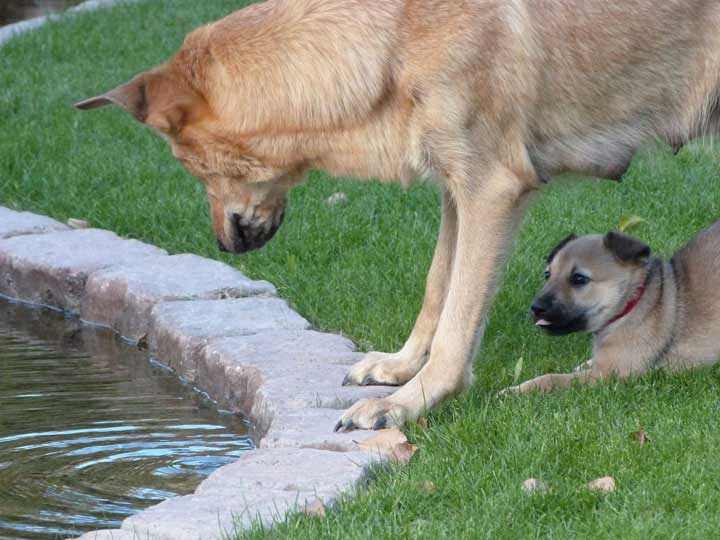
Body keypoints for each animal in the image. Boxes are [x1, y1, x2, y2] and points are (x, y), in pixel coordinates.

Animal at [504, 221, 720, 394]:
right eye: (547, 275)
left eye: (579, 279)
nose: (536, 308)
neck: (632, 303)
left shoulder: (608, 374)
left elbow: (552, 378)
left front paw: (515, 391)